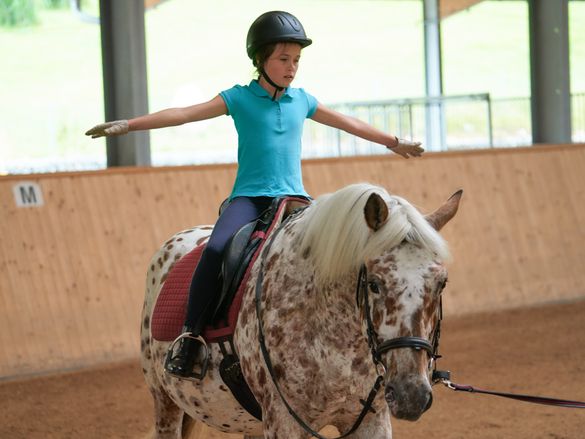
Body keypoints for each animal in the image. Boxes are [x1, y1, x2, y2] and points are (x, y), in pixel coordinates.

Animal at [140, 184, 460, 438]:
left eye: (441, 283)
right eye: (374, 283)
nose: (411, 395)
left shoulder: (372, 420)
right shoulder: (284, 422)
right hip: (164, 400)